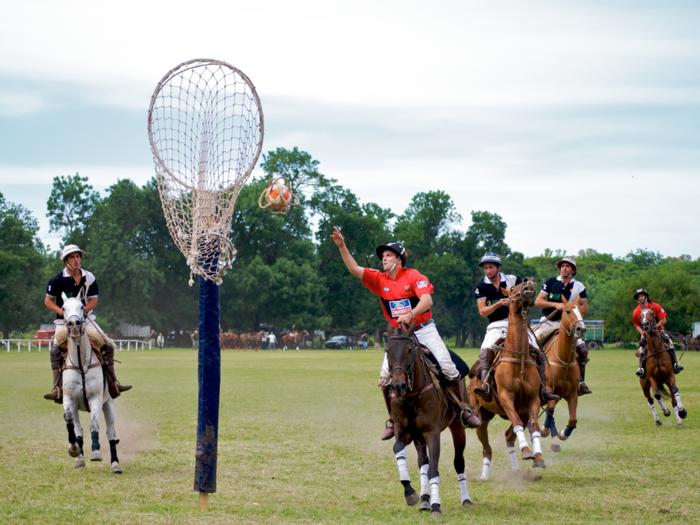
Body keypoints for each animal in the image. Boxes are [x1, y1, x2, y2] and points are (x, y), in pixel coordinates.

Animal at [60, 288, 122, 472]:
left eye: (82, 306)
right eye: (63, 308)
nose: (74, 325)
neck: (81, 364)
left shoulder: (96, 399)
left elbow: (94, 425)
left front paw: (95, 452)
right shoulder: (69, 400)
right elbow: (69, 420)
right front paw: (73, 450)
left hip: (108, 403)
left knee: (111, 432)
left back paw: (115, 464)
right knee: (79, 429)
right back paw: (79, 458)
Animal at [386, 324, 474, 516]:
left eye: (409, 350)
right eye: (387, 350)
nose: (398, 386)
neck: (411, 395)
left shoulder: (432, 432)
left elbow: (434, 468)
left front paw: (436, 507)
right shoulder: (403, 428)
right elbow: (398, 449)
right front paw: (410, 492)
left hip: (457, 426)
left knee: (458, 462)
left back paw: (466, 499)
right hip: (418, 436)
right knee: (422, 463)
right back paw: (425, 499)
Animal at [470, 278, 548, 478]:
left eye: (519, 281)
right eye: (513, 288)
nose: (529, 282)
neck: (518, 357)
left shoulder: (533, 400)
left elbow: (534, 427)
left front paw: (537, 457)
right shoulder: (506, 397)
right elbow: (518, 424)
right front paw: (527, 451)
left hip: (521, 411)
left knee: (508, 436)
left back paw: (516, 468)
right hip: (480, 415)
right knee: (487, 448)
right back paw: (483, 476)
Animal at [540, 300, 588, 452]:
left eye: (581, 311)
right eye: (567, 311)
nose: (581, 329)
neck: (564, 358)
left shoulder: (572, 393)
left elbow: (572, 419)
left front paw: (562, 434)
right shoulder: (549, 388)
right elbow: (551, 408)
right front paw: (544, 430)